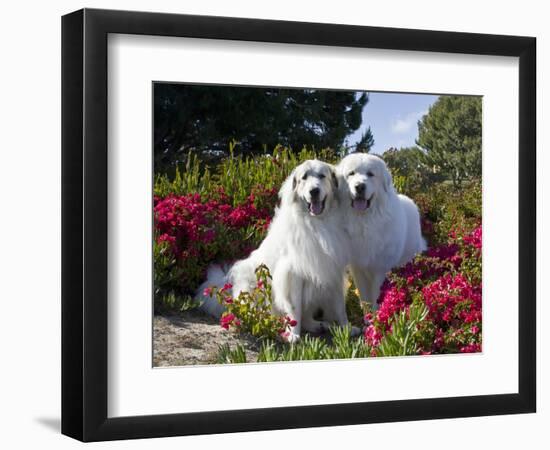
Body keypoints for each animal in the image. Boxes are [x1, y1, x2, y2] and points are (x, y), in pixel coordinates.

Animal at [198, 160, 354, 342]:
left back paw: (318, 325)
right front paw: (293, 334)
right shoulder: (293, 274)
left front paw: (347, 329)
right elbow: (295, 309)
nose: (314, 191)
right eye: (304, 177)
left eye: (322, 176)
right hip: (252, 285)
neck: (317, 223)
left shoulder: (333, 269)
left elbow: (340, 307)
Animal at [336, 153, 432, 308]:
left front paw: (377, 313)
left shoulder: (380, 269)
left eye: (370, 174)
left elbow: (376, 297)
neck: (364, 221)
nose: (360, 186)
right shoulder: (358, 269)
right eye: (351, 173)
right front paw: (368, 314)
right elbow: (365, 298)